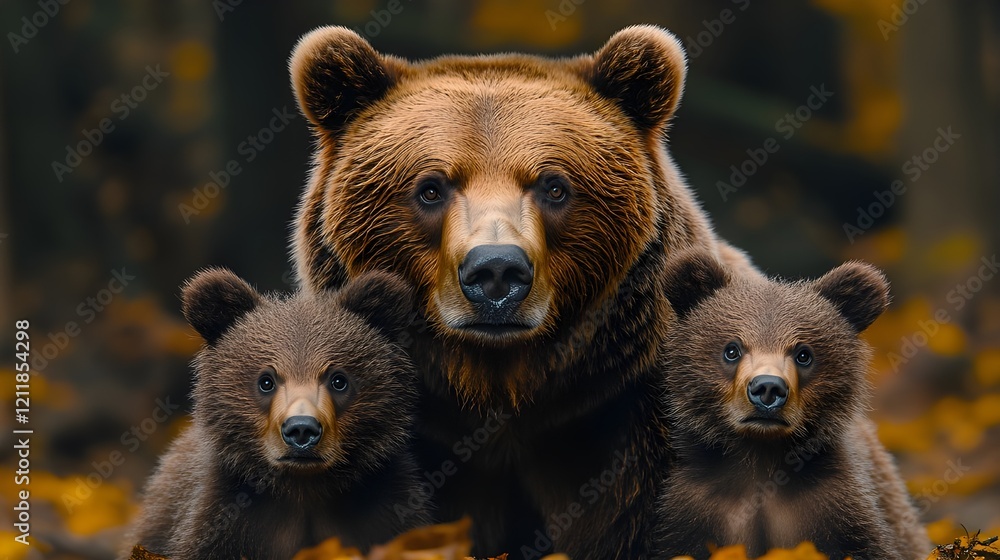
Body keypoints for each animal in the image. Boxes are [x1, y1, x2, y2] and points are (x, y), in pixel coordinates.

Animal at [123, 269, 431, 559]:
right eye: (266, 381)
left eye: (338, 380)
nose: (302, 430)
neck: (303, 489)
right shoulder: (224, 516)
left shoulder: (383, 509)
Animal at [653, 251, 931, 560]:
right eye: (732, 349)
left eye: (803, 354)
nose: (767, 388)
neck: (761, 459)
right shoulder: (695, 509)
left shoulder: (837, 506)